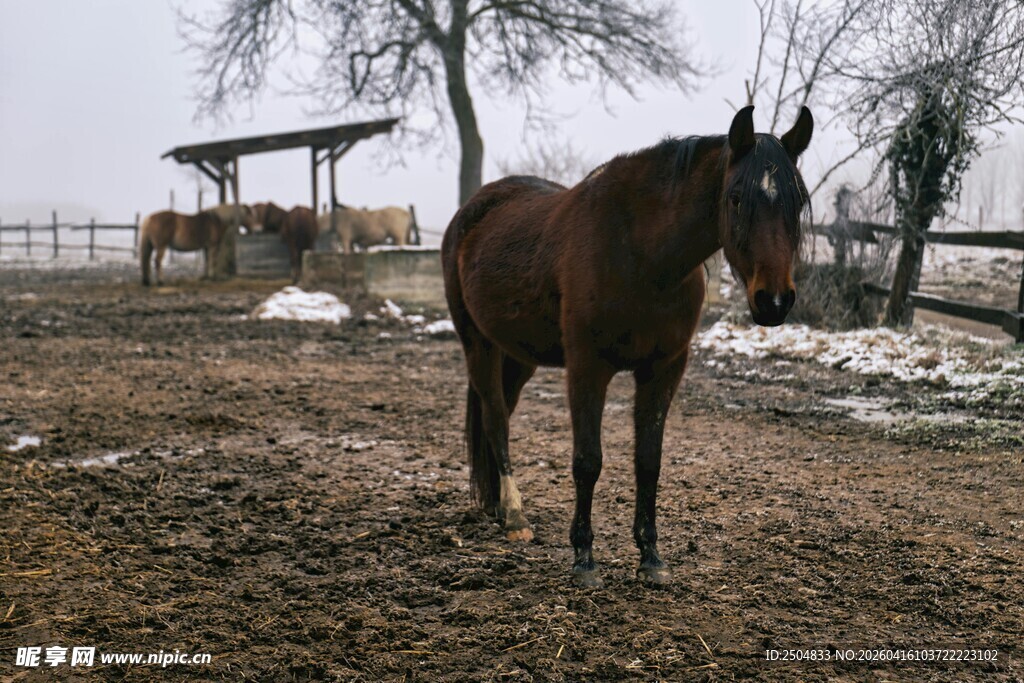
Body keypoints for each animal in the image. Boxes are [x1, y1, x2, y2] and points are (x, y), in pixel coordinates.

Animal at [441, 105, 813, 588]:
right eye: (735, 198)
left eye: (798, 201)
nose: (774, 301)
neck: (640, 253)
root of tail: (471, 212)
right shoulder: (587, 367)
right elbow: (588, 461)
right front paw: (583, 558)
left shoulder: (664, 368)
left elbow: (648, 461)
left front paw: (650, 556)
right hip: (478, 343)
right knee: (496, 419)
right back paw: (515, 515)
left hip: (519, 356)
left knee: (500, 412)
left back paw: (498, 507)